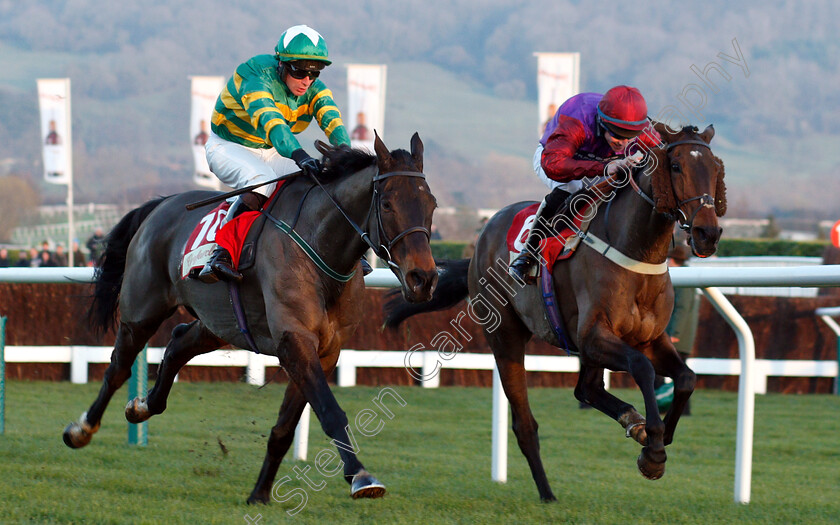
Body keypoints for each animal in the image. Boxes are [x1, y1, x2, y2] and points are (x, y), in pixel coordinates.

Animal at [61, 133, 436, 502]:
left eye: (430, 204)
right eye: (387, 204)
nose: (424, 278)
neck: (318, 244)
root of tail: (160, 205)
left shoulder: (326, 350)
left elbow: (285, 427)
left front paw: (260, 493)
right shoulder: (294, 339)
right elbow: (330, 411)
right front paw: (360, 476)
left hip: (219, 323)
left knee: (179, 342)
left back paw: (142, 406)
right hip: (142, 310)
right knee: (119, 367)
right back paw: (81, 430)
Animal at [384, 122, 724, 500]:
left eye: (715, 169)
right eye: (676, 166)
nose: (708, 232)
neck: (636, 252)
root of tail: (481, 239)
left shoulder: (648, 338)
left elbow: (687, 378)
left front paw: (661, 434)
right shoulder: (594, 337)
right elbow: (643, 369)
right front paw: (653, 451)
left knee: (586, 389)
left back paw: (631, 423)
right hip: (505, 337)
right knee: (525, 423)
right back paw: (547, 493)